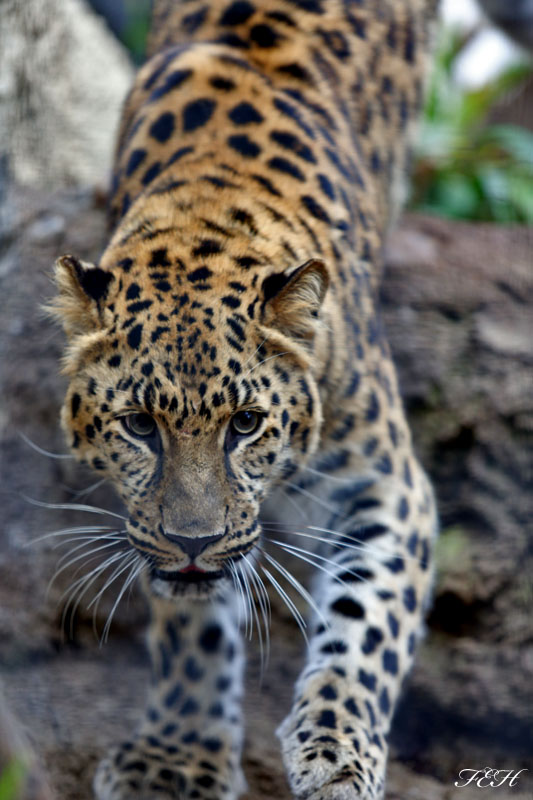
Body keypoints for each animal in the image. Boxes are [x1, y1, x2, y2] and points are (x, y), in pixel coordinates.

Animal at [50, 1, 439, 798]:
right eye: (139, 425)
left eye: (247, 424)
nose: (195, 542)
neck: (208, 210)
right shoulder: (152, 529)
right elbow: (191, 624)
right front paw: (176, 756)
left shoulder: (389, 483)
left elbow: (369, 618)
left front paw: (337, 750)